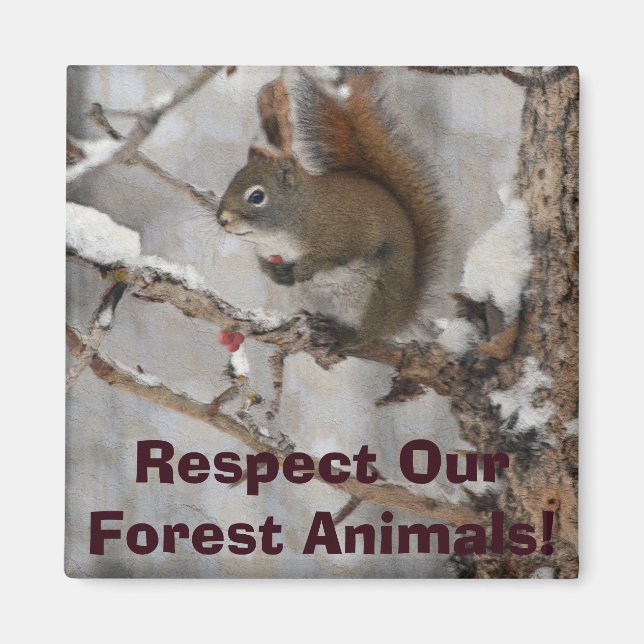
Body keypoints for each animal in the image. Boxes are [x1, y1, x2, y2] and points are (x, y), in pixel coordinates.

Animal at [215, 69, 445, 347]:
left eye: (257, 196)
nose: (222, 219)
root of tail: (405, 313)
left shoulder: (345, 230)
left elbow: (335, 255)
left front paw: (307, 267)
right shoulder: (266, 251)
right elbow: (266, 266)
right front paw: (277, 274)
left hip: (376, 300)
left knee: (366, 335)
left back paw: (345, 337)